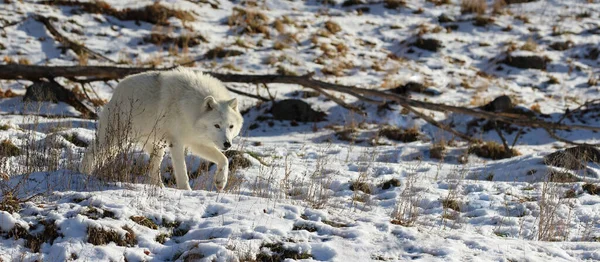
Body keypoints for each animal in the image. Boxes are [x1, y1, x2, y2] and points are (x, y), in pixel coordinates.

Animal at [81, 67, 243, 190]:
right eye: (217, 125)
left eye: (231, 126)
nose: (227, 144)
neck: (191, 107)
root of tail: (116, 91)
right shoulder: (176, 143)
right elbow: (182, 170)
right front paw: (186, 190)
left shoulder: (196, 143)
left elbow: (224, 159)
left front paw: (220, 182)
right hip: (114, 140)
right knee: (90, 152)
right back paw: (84, 174)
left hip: (157, 148)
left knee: (153, 170)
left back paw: (159, 187)